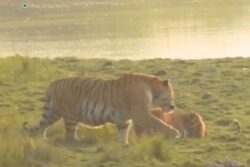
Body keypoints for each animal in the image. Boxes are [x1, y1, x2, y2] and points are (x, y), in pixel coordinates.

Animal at [22, 73, 179, 144]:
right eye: (171, 94)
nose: (173, 106)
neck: (152, 90)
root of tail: (54, 83)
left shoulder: (124, 118)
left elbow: (123, 132)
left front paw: (124, 144)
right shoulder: (140, 113)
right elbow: (157, 122)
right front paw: (174, 132)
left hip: (52, 112)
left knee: (42, 126)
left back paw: (41, 140)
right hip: (71, 115)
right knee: (69, 135)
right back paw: (78, 142)